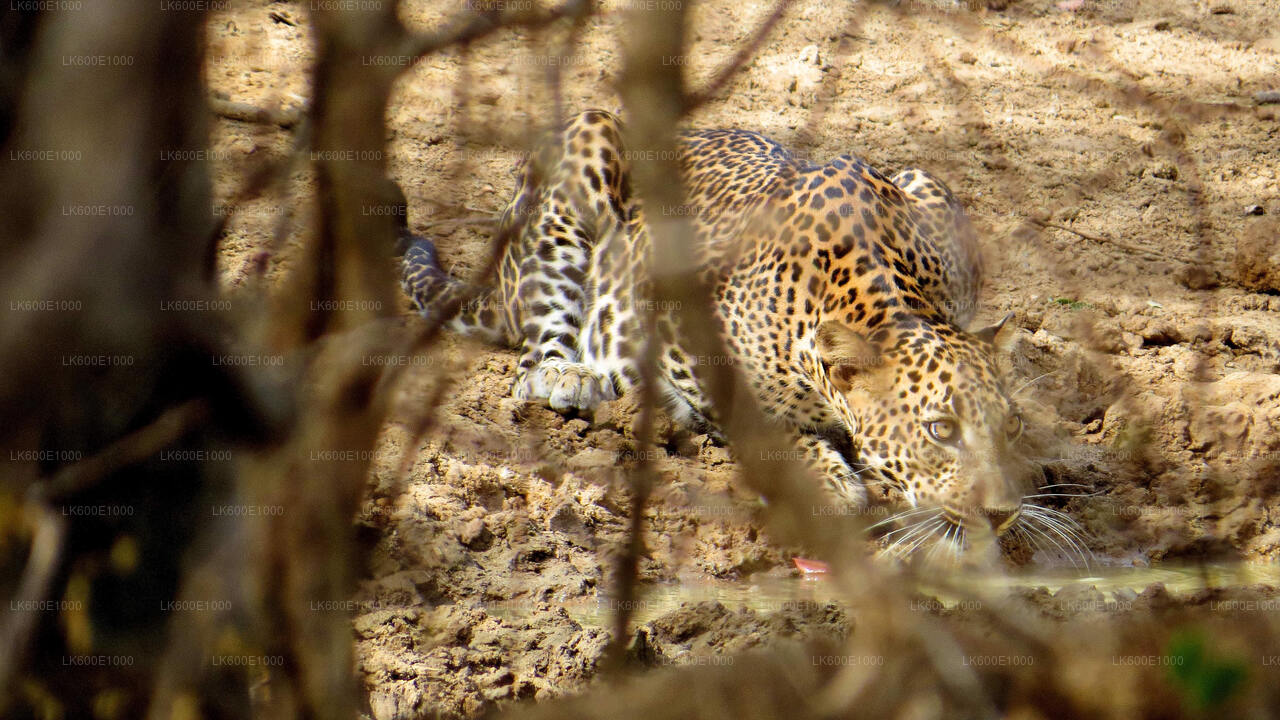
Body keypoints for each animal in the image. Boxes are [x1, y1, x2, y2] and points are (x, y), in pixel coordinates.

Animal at [396, 109, 1059, 558]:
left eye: (1011, 426)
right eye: (940, 430)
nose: (1003, 514)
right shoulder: (678, 326)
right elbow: (762, 425)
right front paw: (829, 480)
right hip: (584, 143)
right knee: (534, 360)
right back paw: (574, 376)